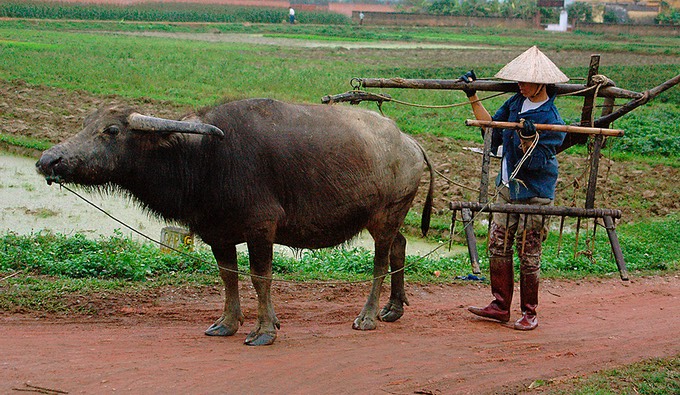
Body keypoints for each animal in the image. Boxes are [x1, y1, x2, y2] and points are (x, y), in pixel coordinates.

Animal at [35, 99, 430, 346]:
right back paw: (393, 308)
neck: (205, 159)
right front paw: (227, 323)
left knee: (380, 262)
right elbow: (228, 277)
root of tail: (410, 144)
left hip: (384, 215)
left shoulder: (261, 229)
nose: (48, 161)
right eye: (85, 124)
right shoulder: (218, 234)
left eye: (112, 131)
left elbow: (259, 279)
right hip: (394, 216)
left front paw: (265, 330)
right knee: (400, 247)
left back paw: (367, 316)